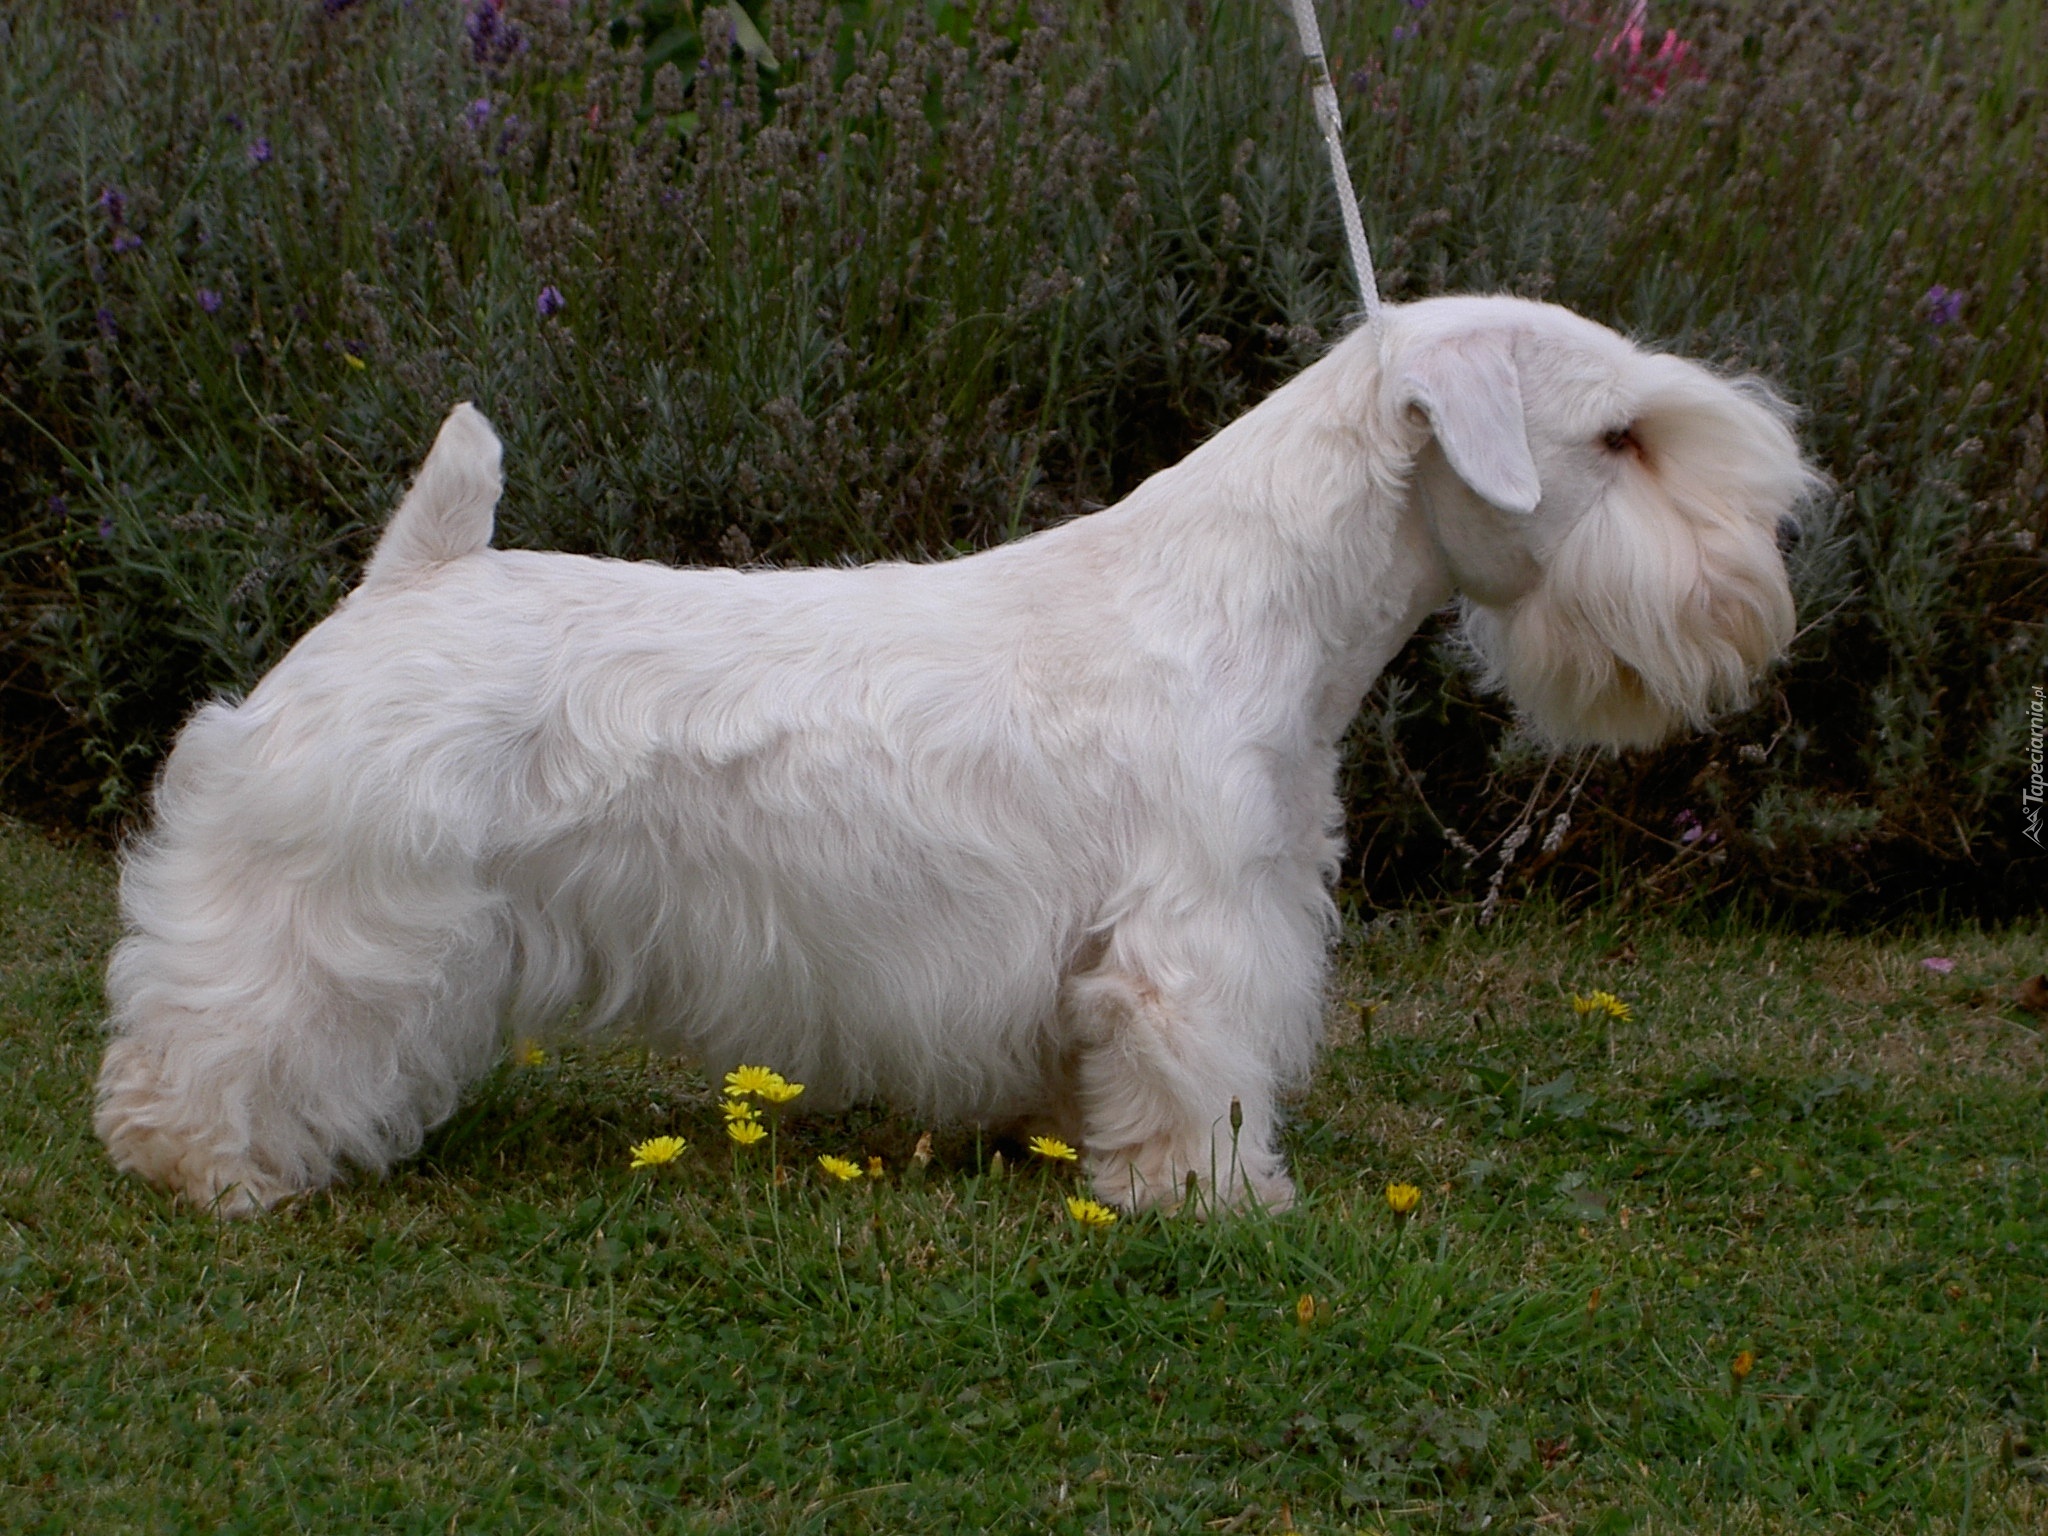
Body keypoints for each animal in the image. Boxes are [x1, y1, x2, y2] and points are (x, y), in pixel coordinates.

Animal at [99, 296, 1826, 1212]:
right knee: (228, 1028)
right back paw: (201, 1163)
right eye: (1621, 438)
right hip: (340, 902)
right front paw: (1217, 1202)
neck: (1248, 598)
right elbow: (1204, 1067)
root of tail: (412, 574)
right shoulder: (1200, 930)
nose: (1761, 585)